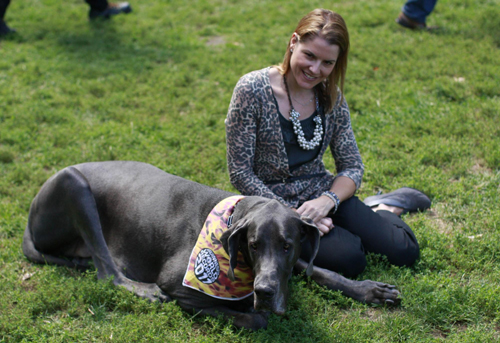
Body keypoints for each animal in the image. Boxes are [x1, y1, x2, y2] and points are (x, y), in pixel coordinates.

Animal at [21, 161, 400, 330]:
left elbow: (318, 271)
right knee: (106, 271)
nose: (264, 290)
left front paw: (370, 290)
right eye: (253, 245)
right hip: (72, 182)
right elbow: (254, 318)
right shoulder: (180, 288)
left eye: (287, 245)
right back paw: (140, 288)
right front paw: (258, 310)